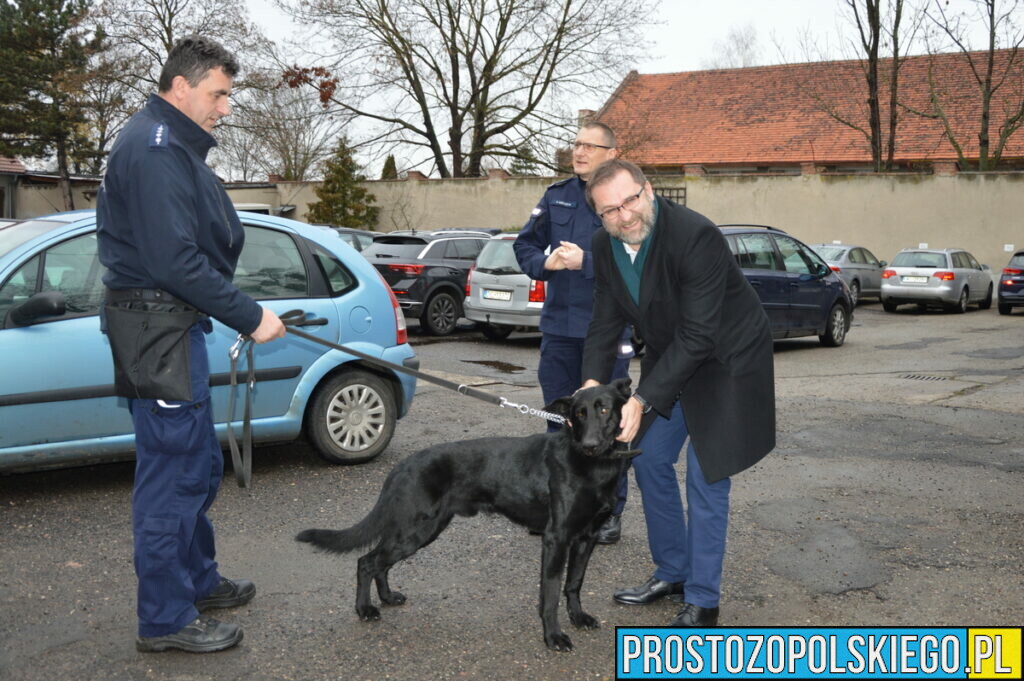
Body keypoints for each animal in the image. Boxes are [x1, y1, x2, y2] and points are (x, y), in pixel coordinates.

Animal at [296, 378, 639, 651]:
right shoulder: (557, 539)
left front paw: (578, 617)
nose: (590, 444)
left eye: (605, 410)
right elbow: (551, 593)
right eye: (579, 413)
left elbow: (574, 583)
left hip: (420, 530)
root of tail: (403, 465)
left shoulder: (586, 538)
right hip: (417, 530)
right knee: (367, 562)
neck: (592, 465)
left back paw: (388, 597)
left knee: (380, 563)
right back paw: (365, 609)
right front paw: (553, 637)